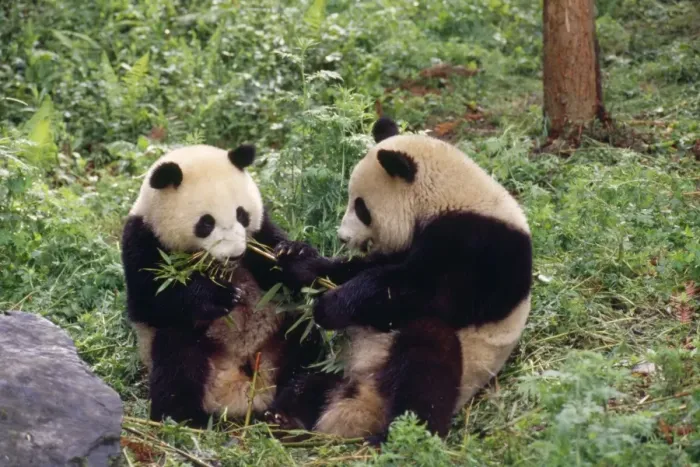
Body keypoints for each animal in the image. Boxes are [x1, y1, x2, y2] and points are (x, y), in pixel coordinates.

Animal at [121, 144, 320, 427]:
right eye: (206, 223)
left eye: (241, 214)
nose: (235, 254)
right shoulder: (144, 239)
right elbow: (148, 300)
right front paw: (218, 296)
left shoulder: (259, 234)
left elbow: (279, 270)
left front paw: (296, 255)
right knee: (178, 356)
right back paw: (184, 418)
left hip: (280, 330)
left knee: (305, 340)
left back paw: (287, 411)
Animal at [266, 117, 532, 442]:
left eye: (361, 207)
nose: (342, 237)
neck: (449, 197)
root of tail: (363, 402)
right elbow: (360, 269)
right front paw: (295, 257)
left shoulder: (481, 247)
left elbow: (423, 294)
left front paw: (330, 306)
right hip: (341, 370)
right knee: (308, 385)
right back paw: (285, 416)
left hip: (460, 368)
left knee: (426, 357)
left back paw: (404, 434)